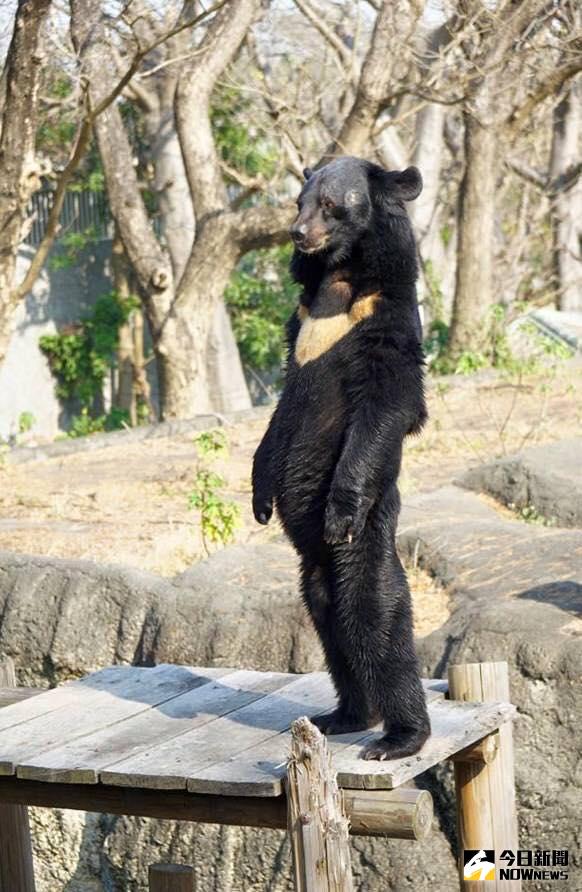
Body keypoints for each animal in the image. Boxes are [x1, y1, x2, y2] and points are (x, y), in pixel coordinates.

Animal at [252, 156, 430, 760]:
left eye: (332, 205)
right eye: (299, 201)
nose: (298, 234)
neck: (341, 277)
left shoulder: (382, 321)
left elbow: (385, 404)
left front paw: (339, 508)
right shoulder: (300, 322)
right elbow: (280, 412)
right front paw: (259, 499)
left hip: (365, 540)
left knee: (373, 610)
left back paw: (399, 735)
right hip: (312, 575)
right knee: (326, 619)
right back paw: (345, 715)